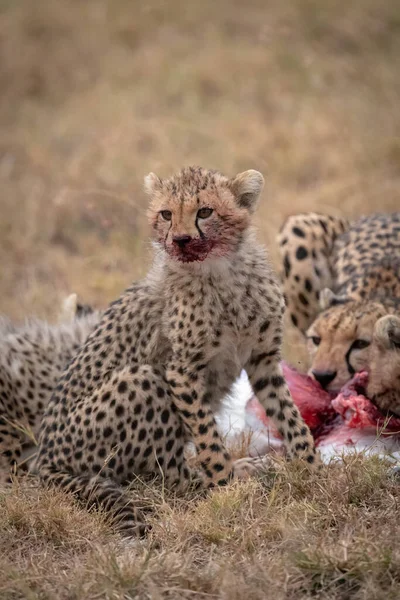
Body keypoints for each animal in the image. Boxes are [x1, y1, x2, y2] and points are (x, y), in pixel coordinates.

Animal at [36, 166, 318, 536]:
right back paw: (240, 475)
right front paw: (227, 493)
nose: (180, 239)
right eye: (166, 214)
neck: (220, 271)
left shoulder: (263, 360)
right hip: (142, 380)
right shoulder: (181, 371)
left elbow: (290, 417)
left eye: (205, 211)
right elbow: (209, 440)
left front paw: (314, 470)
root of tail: (43, 461)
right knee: (168, 475)